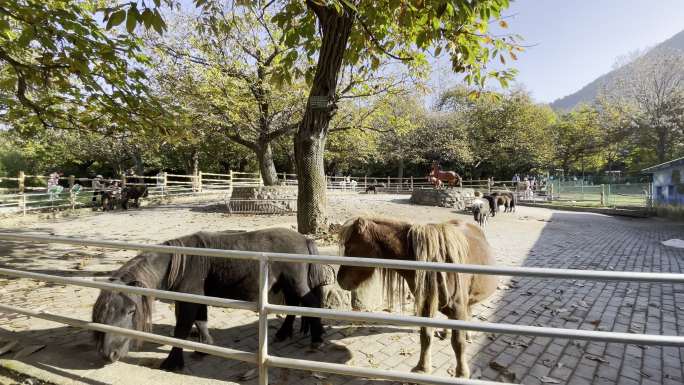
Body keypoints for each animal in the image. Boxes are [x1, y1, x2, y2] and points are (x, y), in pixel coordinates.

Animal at [91, 228, 334, 368]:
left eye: (131, 311)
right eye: (101, 311)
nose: (107, 354)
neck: (180, 263)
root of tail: (304, 238)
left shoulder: (189, 299)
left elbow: (181, 329)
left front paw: (173, 362)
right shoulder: (195, 298)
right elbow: (200, 322)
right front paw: (204, 347)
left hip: (296, 284)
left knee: (310, 305)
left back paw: (317, 339)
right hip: (286, 285)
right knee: (293, 306)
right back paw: (284, 334)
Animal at [336, 216, 496, 378]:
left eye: (350, 247)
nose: (340, 280)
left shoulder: (458, 309)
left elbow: (458, 343)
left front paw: (462, 374)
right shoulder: (426, 305)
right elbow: (425, 336)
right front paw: (422, 368)